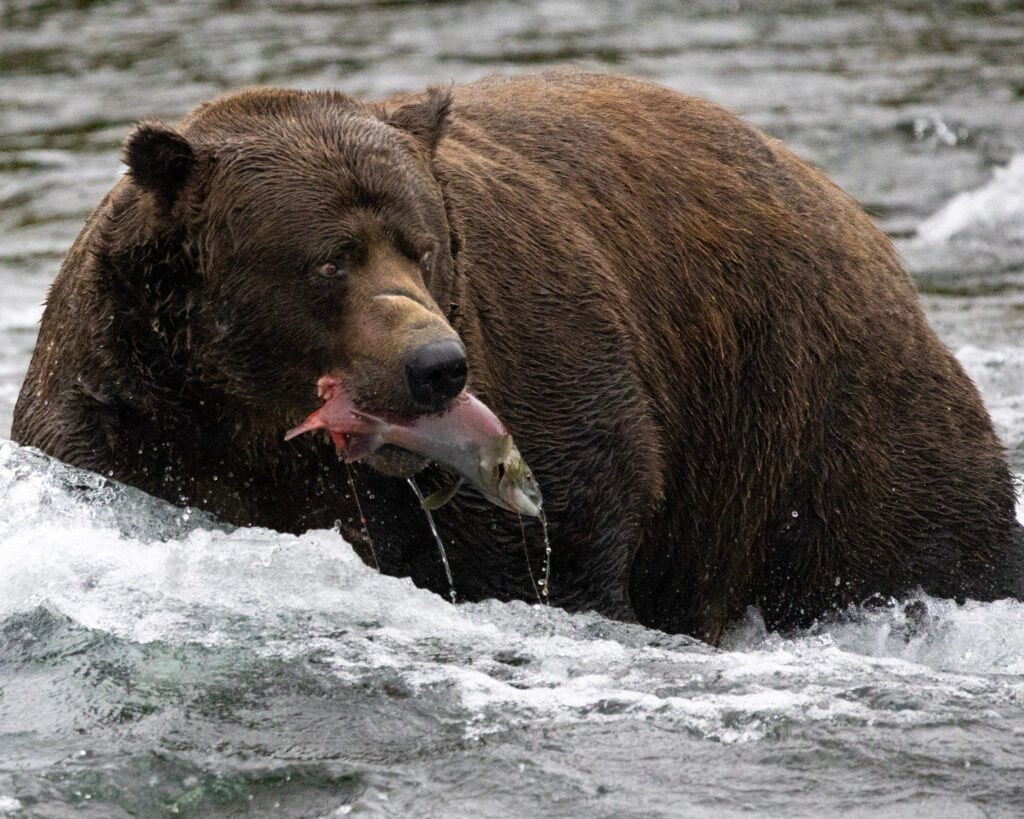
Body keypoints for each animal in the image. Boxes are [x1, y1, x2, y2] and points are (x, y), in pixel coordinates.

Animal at [13, 70, 1024, 644]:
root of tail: (857, 218)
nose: (436, 365)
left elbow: (559, 535)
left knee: (922, 539)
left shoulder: (541, 364)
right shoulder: (123, 422)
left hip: (812, 417)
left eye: (421, 245)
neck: (255, 425)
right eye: (330, 257)